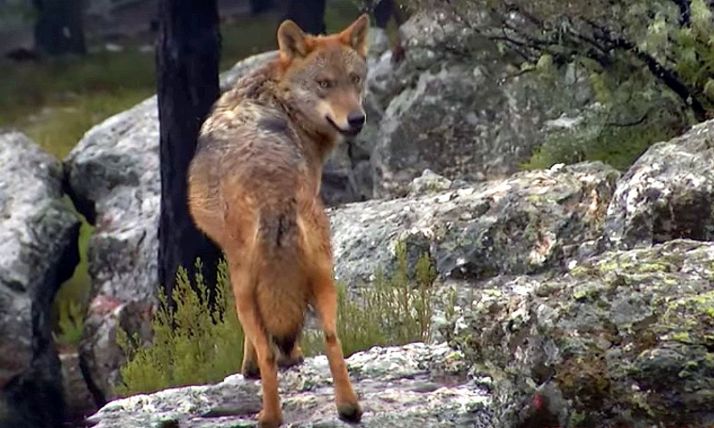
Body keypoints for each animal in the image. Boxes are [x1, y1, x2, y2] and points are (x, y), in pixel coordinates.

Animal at [187, 14, 370, 428]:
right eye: (324, 83)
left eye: (354, 79)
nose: (357, 119)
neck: (277, 99)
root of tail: (274, 195)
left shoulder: (232, 268)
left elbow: (255, 341)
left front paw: (250, 368)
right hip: (324, 277)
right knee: (332, 338)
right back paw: (349, 408)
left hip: (245, 288)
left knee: (270, 348)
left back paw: (269, 416)